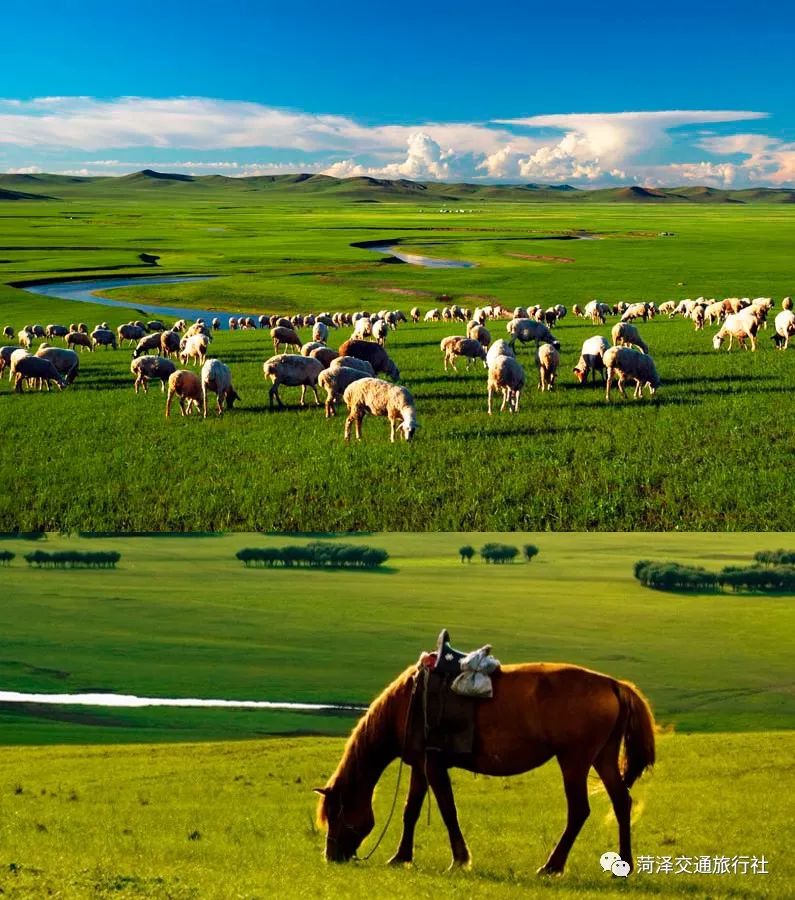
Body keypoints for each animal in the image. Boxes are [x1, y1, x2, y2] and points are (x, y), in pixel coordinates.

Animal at [318, 660, 660, 872]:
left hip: (574, 761)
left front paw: (460, 860)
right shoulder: (420, 766)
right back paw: (624, 864)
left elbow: (448, 810)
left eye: (336, 813)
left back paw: (552, 866)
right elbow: (410, 811)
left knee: (579, 811)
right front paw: (401, 857)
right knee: (621, 802)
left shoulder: (434, 765)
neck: (408, 704)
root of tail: (612, 684)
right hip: (603, 758)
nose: (331, 856)